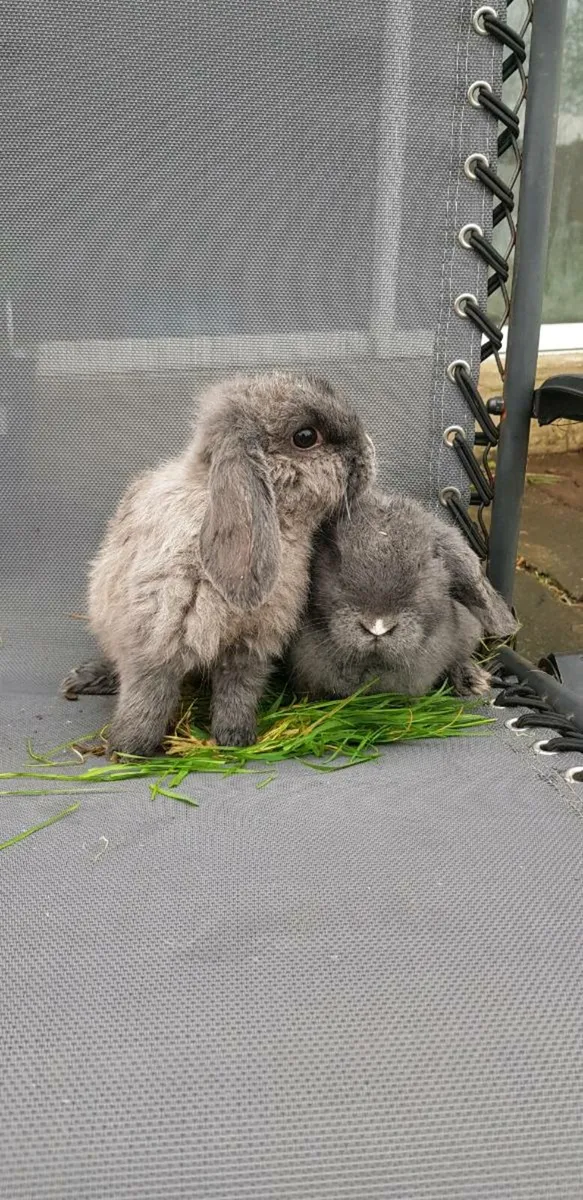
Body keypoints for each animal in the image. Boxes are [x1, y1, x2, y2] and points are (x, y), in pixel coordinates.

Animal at [60, 372, 374, 755]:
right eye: (305, 437)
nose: (368, 451)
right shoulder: (155, 639)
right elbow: (148, 697)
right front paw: (129, 749)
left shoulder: (249, 647)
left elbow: (237, 693)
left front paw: (235, 739)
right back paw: (86, 678)